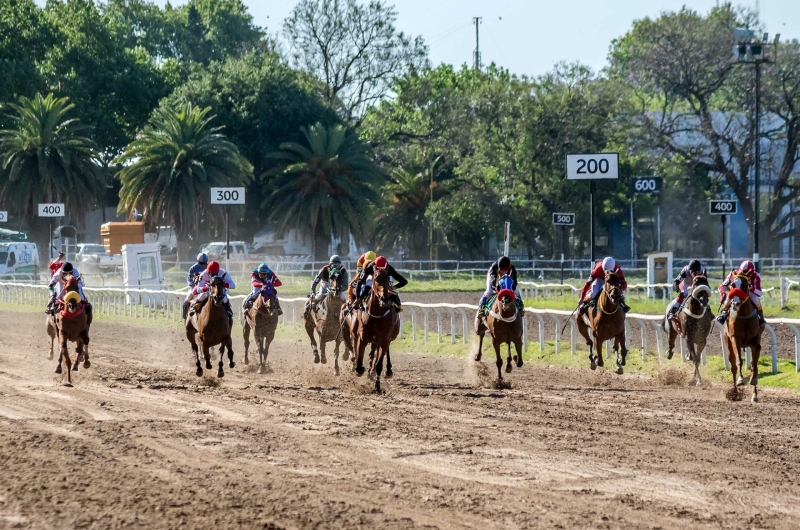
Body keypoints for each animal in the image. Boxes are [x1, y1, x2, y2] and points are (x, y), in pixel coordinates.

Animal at [720, 274, 764, 402]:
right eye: (733, 284)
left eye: (745, 285)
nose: (735, 303)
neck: (744, 314)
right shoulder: (735, 338)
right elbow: (739, 360)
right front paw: (740, 380)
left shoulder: (755, 341)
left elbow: (755, 365)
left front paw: (753, 381)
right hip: (728, 342)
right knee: (733, 367)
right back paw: (735, 393)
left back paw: (754, 395)